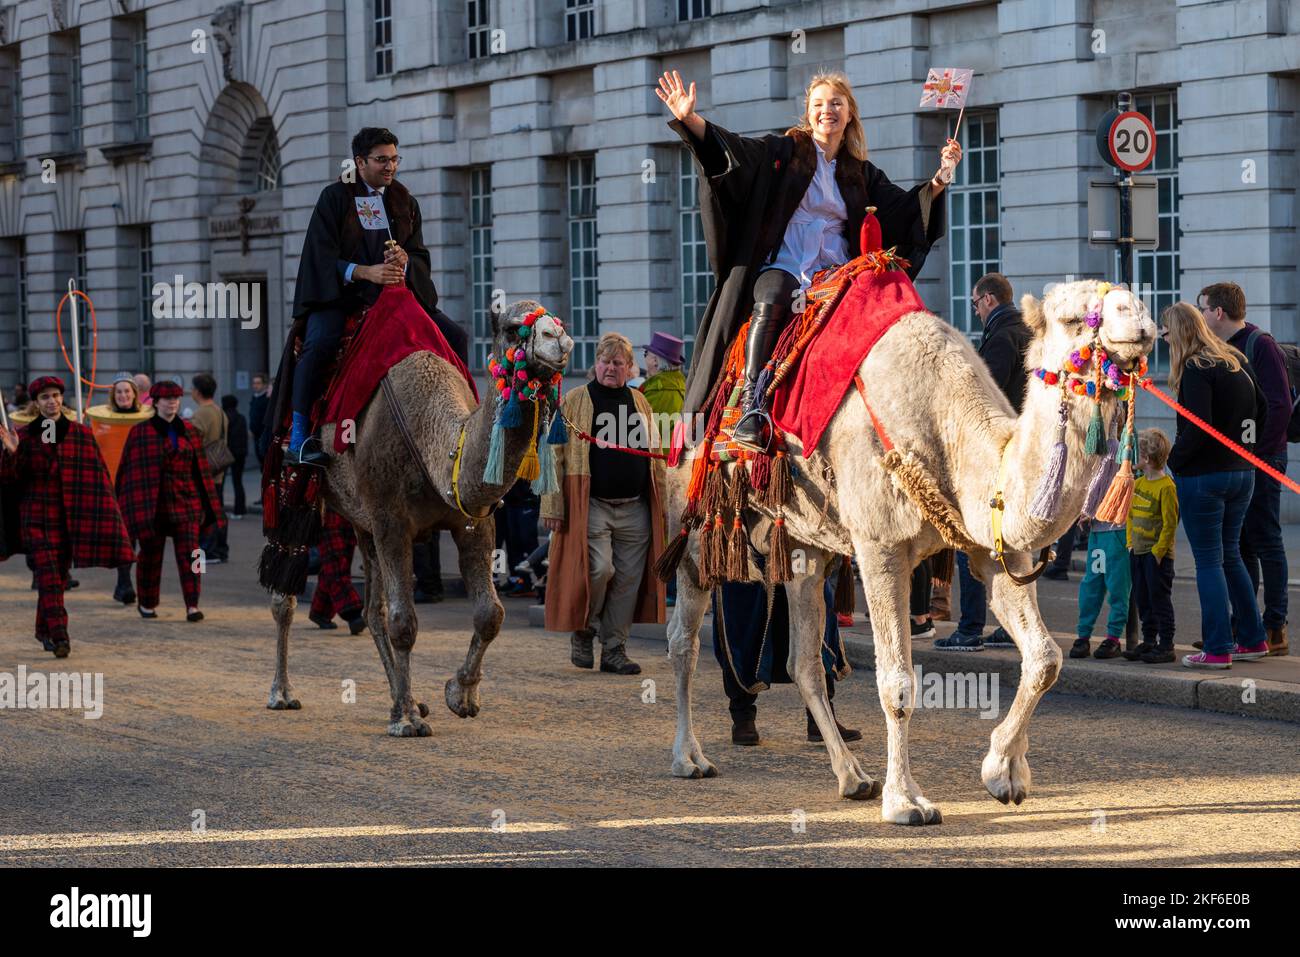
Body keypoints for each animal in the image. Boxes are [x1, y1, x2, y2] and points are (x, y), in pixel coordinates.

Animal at [266, 302, 572, 738]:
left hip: (361, 520)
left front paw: (459, 695)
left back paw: (403, 698)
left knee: (371, 611)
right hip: (296, 488)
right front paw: (408, 721)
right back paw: (283, 692)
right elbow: (404, 622)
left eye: (560, 321)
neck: (433, 436)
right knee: (285, 592)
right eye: (515, 329)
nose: (559, 340)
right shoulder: (391, 520)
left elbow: (489, 614)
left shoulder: (471, 521)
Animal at [665, 276, 1154, 821]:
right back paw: (690, 758)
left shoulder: (989, 546)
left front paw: (1003, 772)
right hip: (695, 532)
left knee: (803, 663)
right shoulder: (880, 545)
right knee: (683, 643)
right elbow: (896, 681)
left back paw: (852, 776)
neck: (950, 431)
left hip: (802, 550)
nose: (1138, 318)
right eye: (1072, 318)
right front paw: (907, 801)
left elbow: (1045, 657)